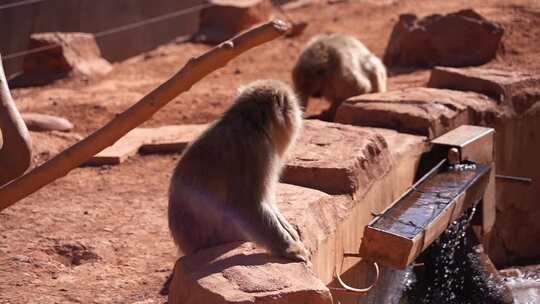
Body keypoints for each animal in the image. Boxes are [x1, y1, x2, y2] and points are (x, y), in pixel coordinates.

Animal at [169, 79, 312, 262]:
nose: (298, 115)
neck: (252, 123)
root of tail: (189, 248)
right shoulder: (256, 151)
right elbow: (247, 206)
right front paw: (291, 249)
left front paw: (290, 231)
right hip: (225, 233)